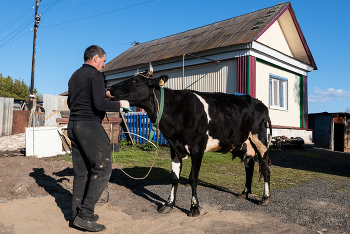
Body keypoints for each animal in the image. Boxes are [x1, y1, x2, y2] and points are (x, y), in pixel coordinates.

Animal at [108, 68, 272, 217]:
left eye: (136, 81)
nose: (109, 89)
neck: (176, 111)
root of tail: (259, 103)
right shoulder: (174, 146)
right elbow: (174, 178)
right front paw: (169, 204)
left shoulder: (198, 147)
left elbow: (193, 178)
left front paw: (194, 207)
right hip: (244, 143)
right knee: (249, 165)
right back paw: (244, 192)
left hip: (260, 140)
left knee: (265, 167)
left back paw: (265, 198)